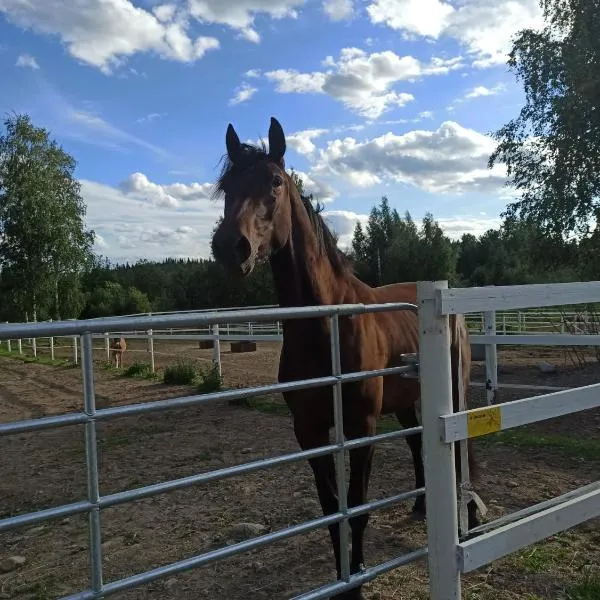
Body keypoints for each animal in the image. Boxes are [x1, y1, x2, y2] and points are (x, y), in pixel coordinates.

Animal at [211, 117, 482, 600]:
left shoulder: (360, 427)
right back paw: (420, 504)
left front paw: (356, 580)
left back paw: (466, 515)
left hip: (455, 390)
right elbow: (331, 509)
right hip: (406, 401)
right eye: (227, 186)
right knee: (417, 445)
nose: (230, 247)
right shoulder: (309, 431)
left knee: (460, 448)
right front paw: (342, 577)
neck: (328, 327)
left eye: (274, 181)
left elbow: (356, 507)